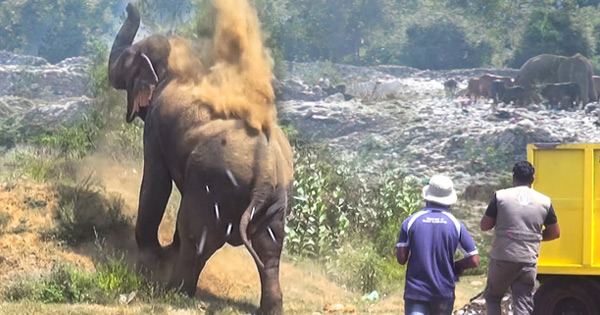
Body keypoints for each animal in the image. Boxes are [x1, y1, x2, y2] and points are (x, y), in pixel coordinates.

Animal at [108, 3, 296, 315]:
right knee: (270, 252)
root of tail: (264, 173)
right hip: (274, 203)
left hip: (214, 186)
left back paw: (174, 291)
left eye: (125, 60)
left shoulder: (156, 125)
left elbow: (157, 182)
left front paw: (151, 255)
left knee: (196, 235)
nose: (129, 5)